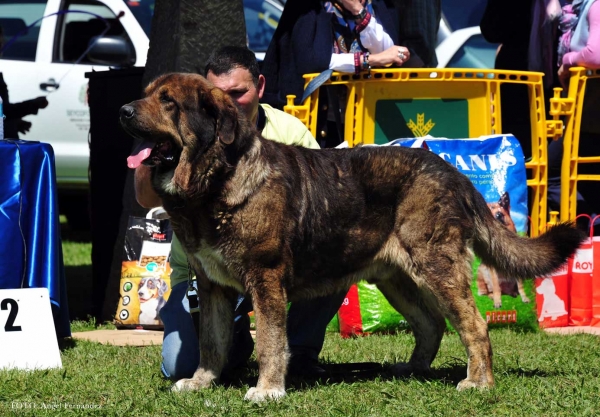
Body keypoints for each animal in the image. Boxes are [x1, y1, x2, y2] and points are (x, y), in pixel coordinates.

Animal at [119, 73, 584, 402]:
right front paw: (201, 383)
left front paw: (267, 390)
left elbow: (269, 342)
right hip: (397, 279)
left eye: (168, 101)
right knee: (431, 323)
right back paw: (413, 370)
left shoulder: (266, 280)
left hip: (436, 268)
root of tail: (452, 171)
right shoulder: (212, 285)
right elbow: (212, 343)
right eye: (148, 94)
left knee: (474, 325)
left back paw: (479, 383)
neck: (217, 180)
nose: (123, 111)